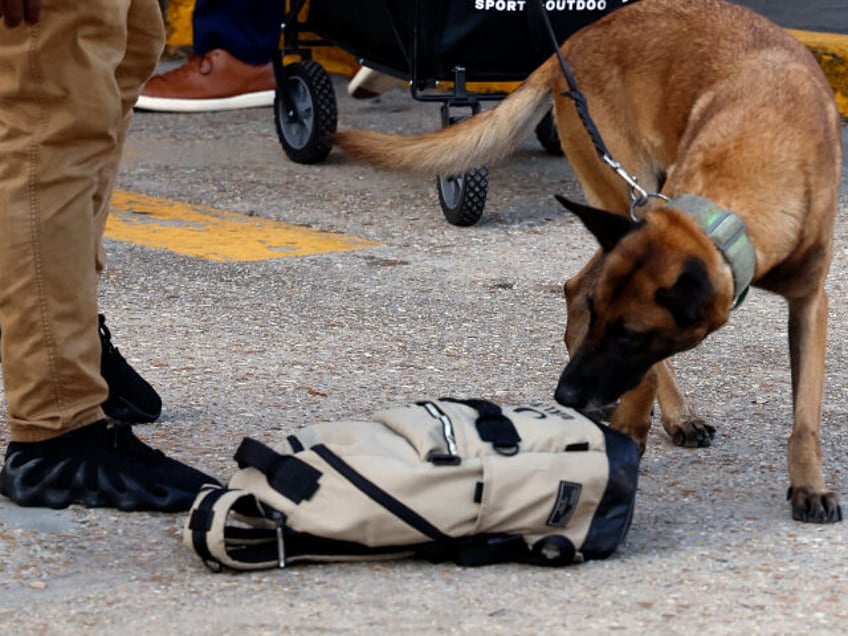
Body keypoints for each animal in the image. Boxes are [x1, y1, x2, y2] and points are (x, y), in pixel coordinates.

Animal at [334, 0, 844, 520]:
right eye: (611, 325)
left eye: (630, 336)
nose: (566, 395)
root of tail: (576, 39)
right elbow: (644, 378)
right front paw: (627, 435)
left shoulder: (810, 304)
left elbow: (805, 414)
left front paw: (809, 485)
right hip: (627, 192)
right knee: (580, 287)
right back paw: (665, 412)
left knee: (575, 284)